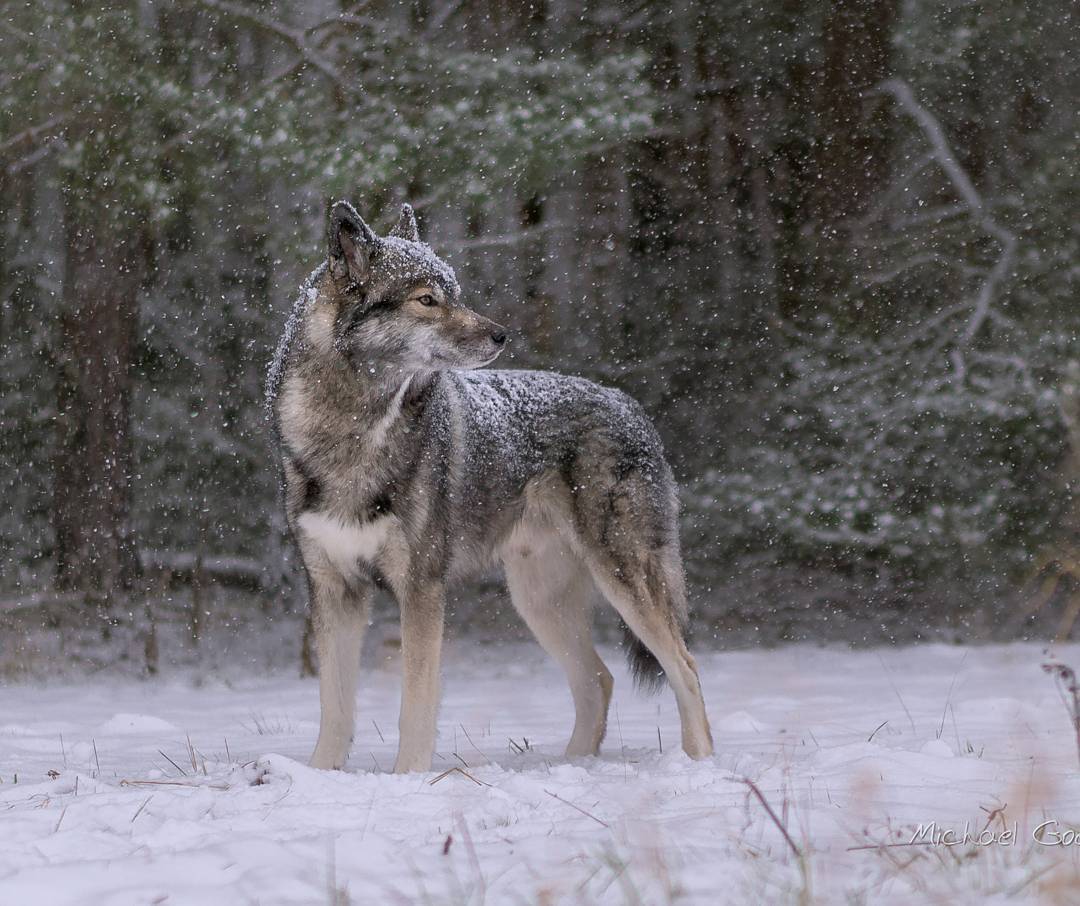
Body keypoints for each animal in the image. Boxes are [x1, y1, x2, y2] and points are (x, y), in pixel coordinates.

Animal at [265, 199, 712, 773]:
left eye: (455, 293)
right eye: (427, 300)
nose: (501, 334)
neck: (353, 431)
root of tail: (631, 406)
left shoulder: (421, 590)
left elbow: (415, 706)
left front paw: (408, 778)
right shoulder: (333, 590)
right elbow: (335, 710)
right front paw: (319, 777)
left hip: (620, 582)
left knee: (686, 668)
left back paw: (700, 766)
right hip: (539, 602)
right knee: (600, 680)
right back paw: (569, 767)